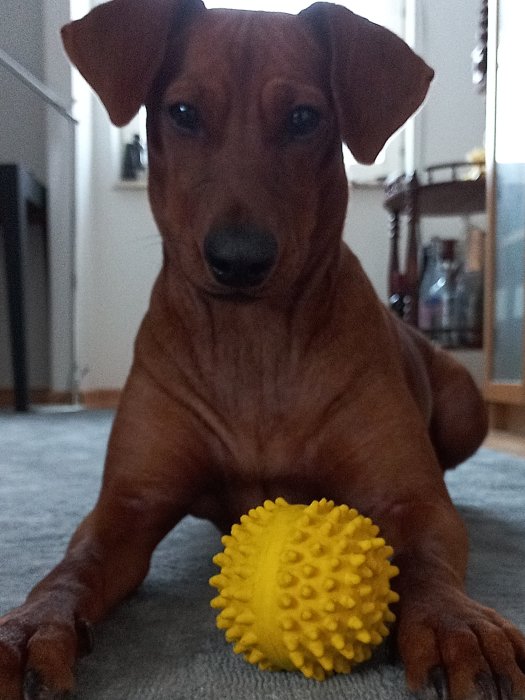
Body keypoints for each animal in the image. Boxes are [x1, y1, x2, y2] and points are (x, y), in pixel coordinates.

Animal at [1, 1, 524, 700]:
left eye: (304, 118)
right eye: (183, 112)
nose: (239, 260)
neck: (254, 343)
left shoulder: (409, 501)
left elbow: (427, 559)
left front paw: (454, 625)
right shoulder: (129, 505)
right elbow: (72, 566)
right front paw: (30, 626)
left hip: (467, 406)